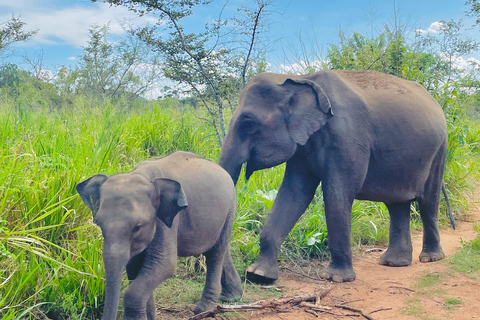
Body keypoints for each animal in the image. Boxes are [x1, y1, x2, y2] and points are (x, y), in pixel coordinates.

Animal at [78, 151, 244, 320]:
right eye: (99, 224)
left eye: (137, 227)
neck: (142, 175)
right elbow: (134, 265)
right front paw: (149, 316)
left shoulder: (166, 220)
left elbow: (164, 263)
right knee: (221, 250)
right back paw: (230, 297)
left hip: (230, 208)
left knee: (215, 255)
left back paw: (205, 309)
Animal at [219, 69, 452, 282]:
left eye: (248, 123)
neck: (301, 78)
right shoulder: (302, 146)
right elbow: (295, 193)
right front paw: (259, 275)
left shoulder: (348, 137)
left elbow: (337, 194)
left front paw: (335, 278)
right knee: (397, 204)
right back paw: (393, 263)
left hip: (440, 149)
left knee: (428, 200)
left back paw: (431, 258)